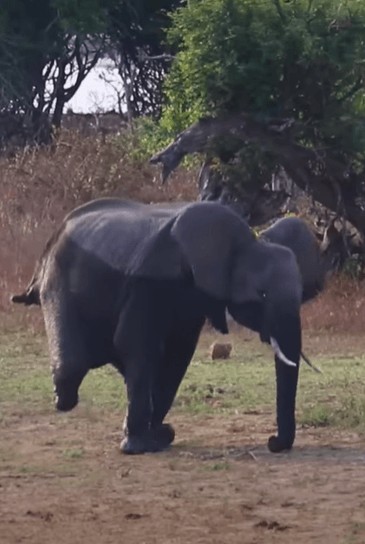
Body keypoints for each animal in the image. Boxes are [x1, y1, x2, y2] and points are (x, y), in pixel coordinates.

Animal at [12, 199, 304, 454]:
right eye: (262, 294)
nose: (272, 442)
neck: (241, 243)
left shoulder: (192, 298)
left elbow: (178, 353)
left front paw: (160, 437)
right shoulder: (149, 281)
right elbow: (136, 344)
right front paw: (140, 447)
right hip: (58, 280)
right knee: (74, 364)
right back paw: (63, 401)